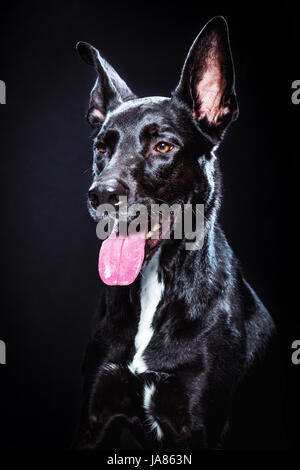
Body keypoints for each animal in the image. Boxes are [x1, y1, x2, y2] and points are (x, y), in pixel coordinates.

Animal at [75, 16, 276, 450]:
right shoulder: (95, 418)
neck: (155, 285)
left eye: (163, 146)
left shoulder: (197, 426)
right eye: (102, 147)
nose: (101, 195)